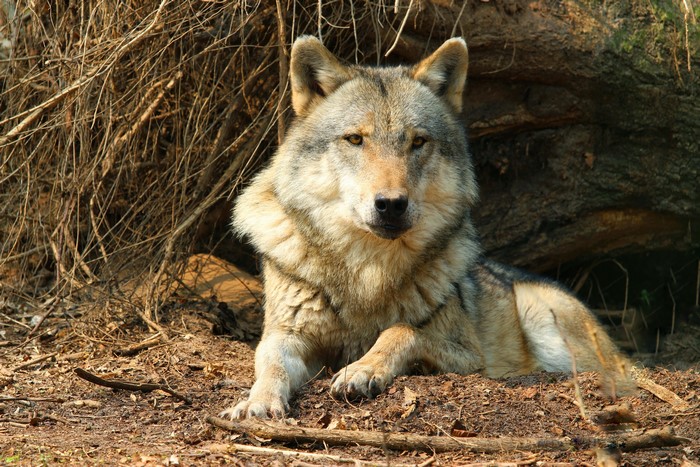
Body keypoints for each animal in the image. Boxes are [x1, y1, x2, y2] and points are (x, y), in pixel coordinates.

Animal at [222, 36, 631, 419]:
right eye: (355, 139)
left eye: (418, 142)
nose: (391, 204)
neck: (367, 271)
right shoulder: (285, 335)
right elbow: (270, 365)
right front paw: (257, 403)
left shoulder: (469, 355)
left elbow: (401, 330)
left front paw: (362, 369)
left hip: (542, 319)